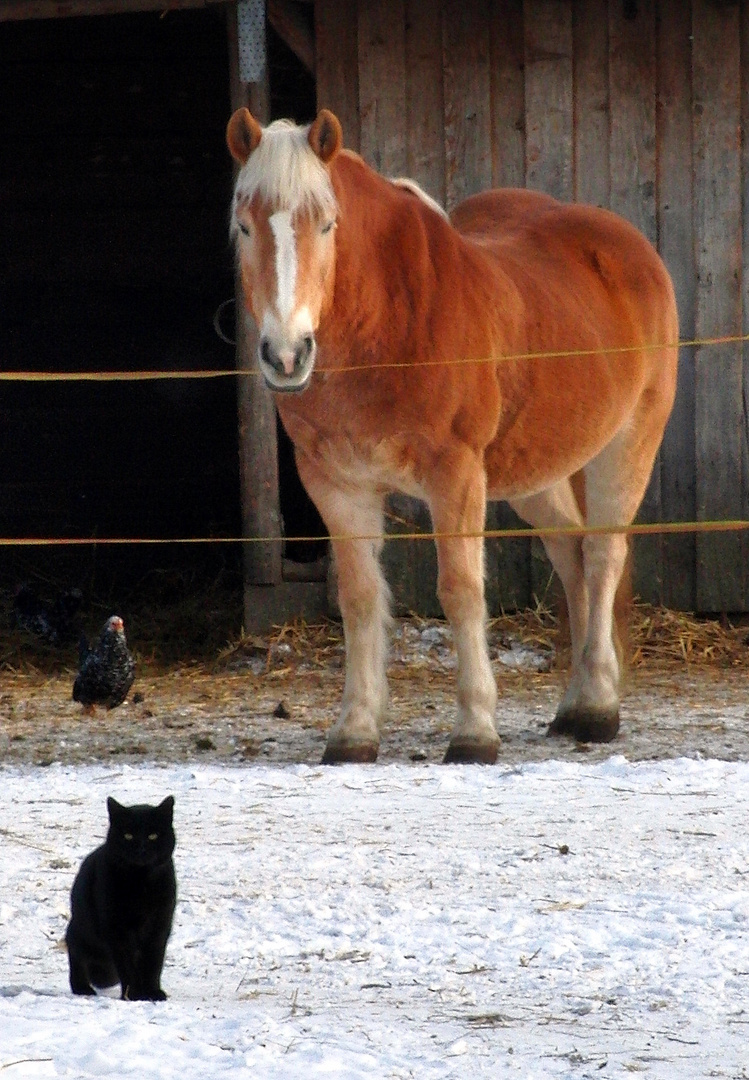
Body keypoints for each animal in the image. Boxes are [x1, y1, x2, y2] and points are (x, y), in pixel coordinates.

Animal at [66, 799, 176, 997]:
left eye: (153, 836)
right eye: (128, 835)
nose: (141, 848)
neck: (142, 883)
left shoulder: (160, 925)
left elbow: (154, 962)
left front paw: (153, 992)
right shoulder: (117, 929)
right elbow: (127, 965)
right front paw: (134, 994)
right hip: (83, 932)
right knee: (76, 953)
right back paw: (83, 988)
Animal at [227, 107, 682, 768]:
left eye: (327, 225)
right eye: (243, 227)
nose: (287, 356)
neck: (387, 324)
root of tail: (626, 244)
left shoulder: (456, 474)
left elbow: (461, 590)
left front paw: (474, 731)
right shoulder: (336, 484)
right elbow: (360, 597)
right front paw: (355, 729)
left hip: (627, 446)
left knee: (602, 558)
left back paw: (598, 706)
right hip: (534, 473)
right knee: (571, 554)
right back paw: (573, 705)